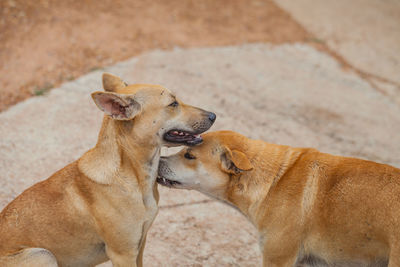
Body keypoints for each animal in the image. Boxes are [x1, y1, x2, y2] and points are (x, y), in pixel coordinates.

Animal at [0, 74, 216, 267]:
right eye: (173, 104)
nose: (213, 115)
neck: (133, 176)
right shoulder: (123, 254)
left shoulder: (139, 247)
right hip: (43, 255)